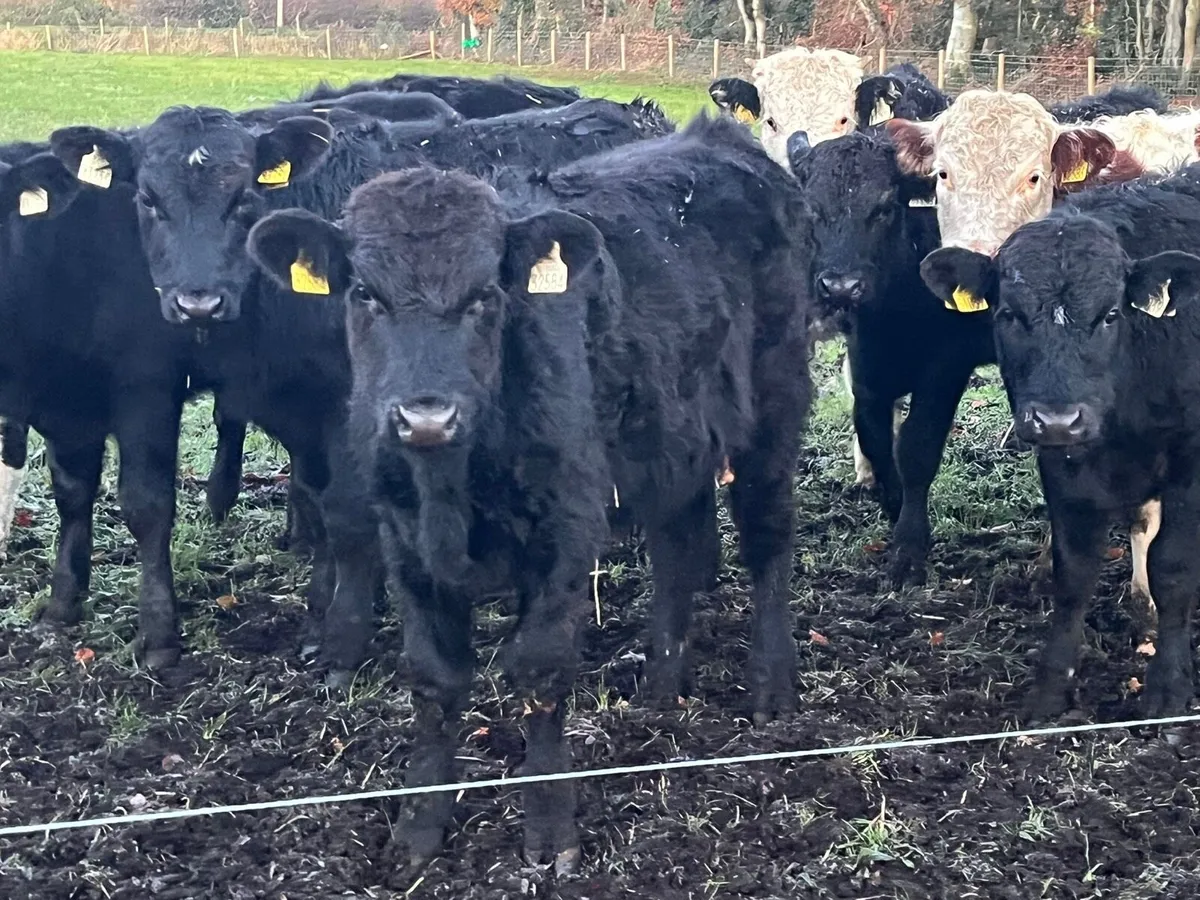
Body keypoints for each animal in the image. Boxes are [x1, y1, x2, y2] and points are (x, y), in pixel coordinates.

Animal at [48, 97, 673, 677]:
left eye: (242, 199)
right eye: (148, 200)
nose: (197, 301)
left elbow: (347, 516)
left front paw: (343, 639)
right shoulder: (302, 413)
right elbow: (318, 504)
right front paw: (322, 607)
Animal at [246, 112, 812, 868]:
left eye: (486, 295)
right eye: (365, 293)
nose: (426, 416)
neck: (452, 490)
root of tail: (719, 137)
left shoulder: (566, 532)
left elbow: (539, 674)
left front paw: (550, 828)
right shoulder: (404, 543)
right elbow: (434, 677)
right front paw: (420, 826)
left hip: (774, 405)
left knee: (766, 535)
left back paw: (771, 686)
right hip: (672, 434)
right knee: (678, 549)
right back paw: (662, 686)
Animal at [789, 130, 993, 586]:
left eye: (884, 208)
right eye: (812, 209)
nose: (841, 287)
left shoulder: (946, 368)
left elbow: (916, 448)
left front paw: (909, 549)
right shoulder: (868, 374)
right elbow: (877, 442)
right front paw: (893, 504)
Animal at [920, 164, 1200, 719]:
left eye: (1111, 314)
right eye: (1008, 314)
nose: (1057, 419)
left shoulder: (1191, 460)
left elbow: (1173, 567)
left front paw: (1168, 689)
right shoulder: (1062, 467)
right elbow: (1073, 573)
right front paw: (1050, 690)